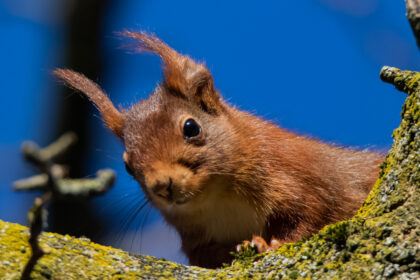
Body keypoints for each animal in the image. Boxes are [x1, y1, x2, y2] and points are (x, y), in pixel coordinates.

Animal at [54, 31, 386, 270]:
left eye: (191, 128)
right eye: (127, 165)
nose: (162, 185)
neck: (218, 199)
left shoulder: (300, 179)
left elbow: (311, 216)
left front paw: (268, 244)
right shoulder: (194, 238)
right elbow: (205, 256)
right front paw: (237, 249)